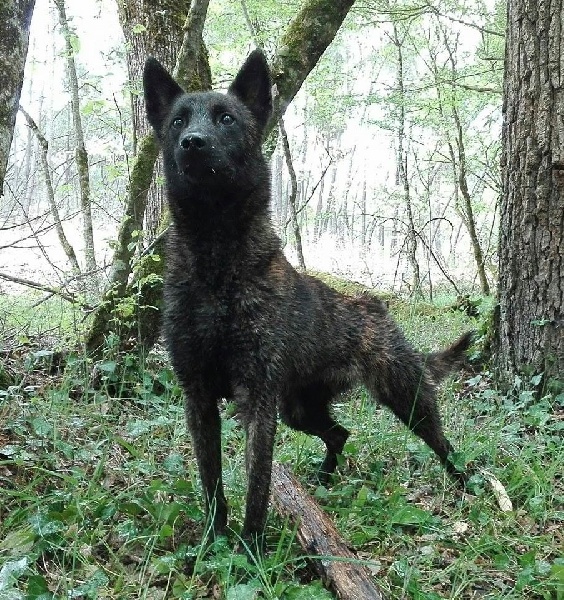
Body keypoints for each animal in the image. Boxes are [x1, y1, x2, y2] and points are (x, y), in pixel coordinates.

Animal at [143, 49, 473, 547]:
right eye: (178, 120)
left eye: (226, 118)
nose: (192, 143)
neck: (216, 262)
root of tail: (378, 310)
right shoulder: (198, 397)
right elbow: (211, 484)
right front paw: (214, 541)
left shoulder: (258, 401)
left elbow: (257, 487)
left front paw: (251, 548)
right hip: (300, 409)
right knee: (340, 433)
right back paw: (325, 478)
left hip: (406, 399)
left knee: (443, 443)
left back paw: (467, 487)